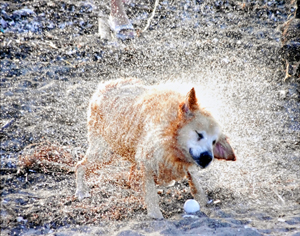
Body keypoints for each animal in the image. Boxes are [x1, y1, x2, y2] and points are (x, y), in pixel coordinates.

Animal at [76, 79, 236, 219]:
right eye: (199, 134)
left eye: (214, 142)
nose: (208, 157)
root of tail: (102, 87)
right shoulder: (148, 159)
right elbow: (151, 193)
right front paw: (155, 215)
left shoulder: (184, 163)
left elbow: (196, 185)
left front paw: (205, 203)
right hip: (106, 152)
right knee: (80, 166)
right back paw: (81, 191)